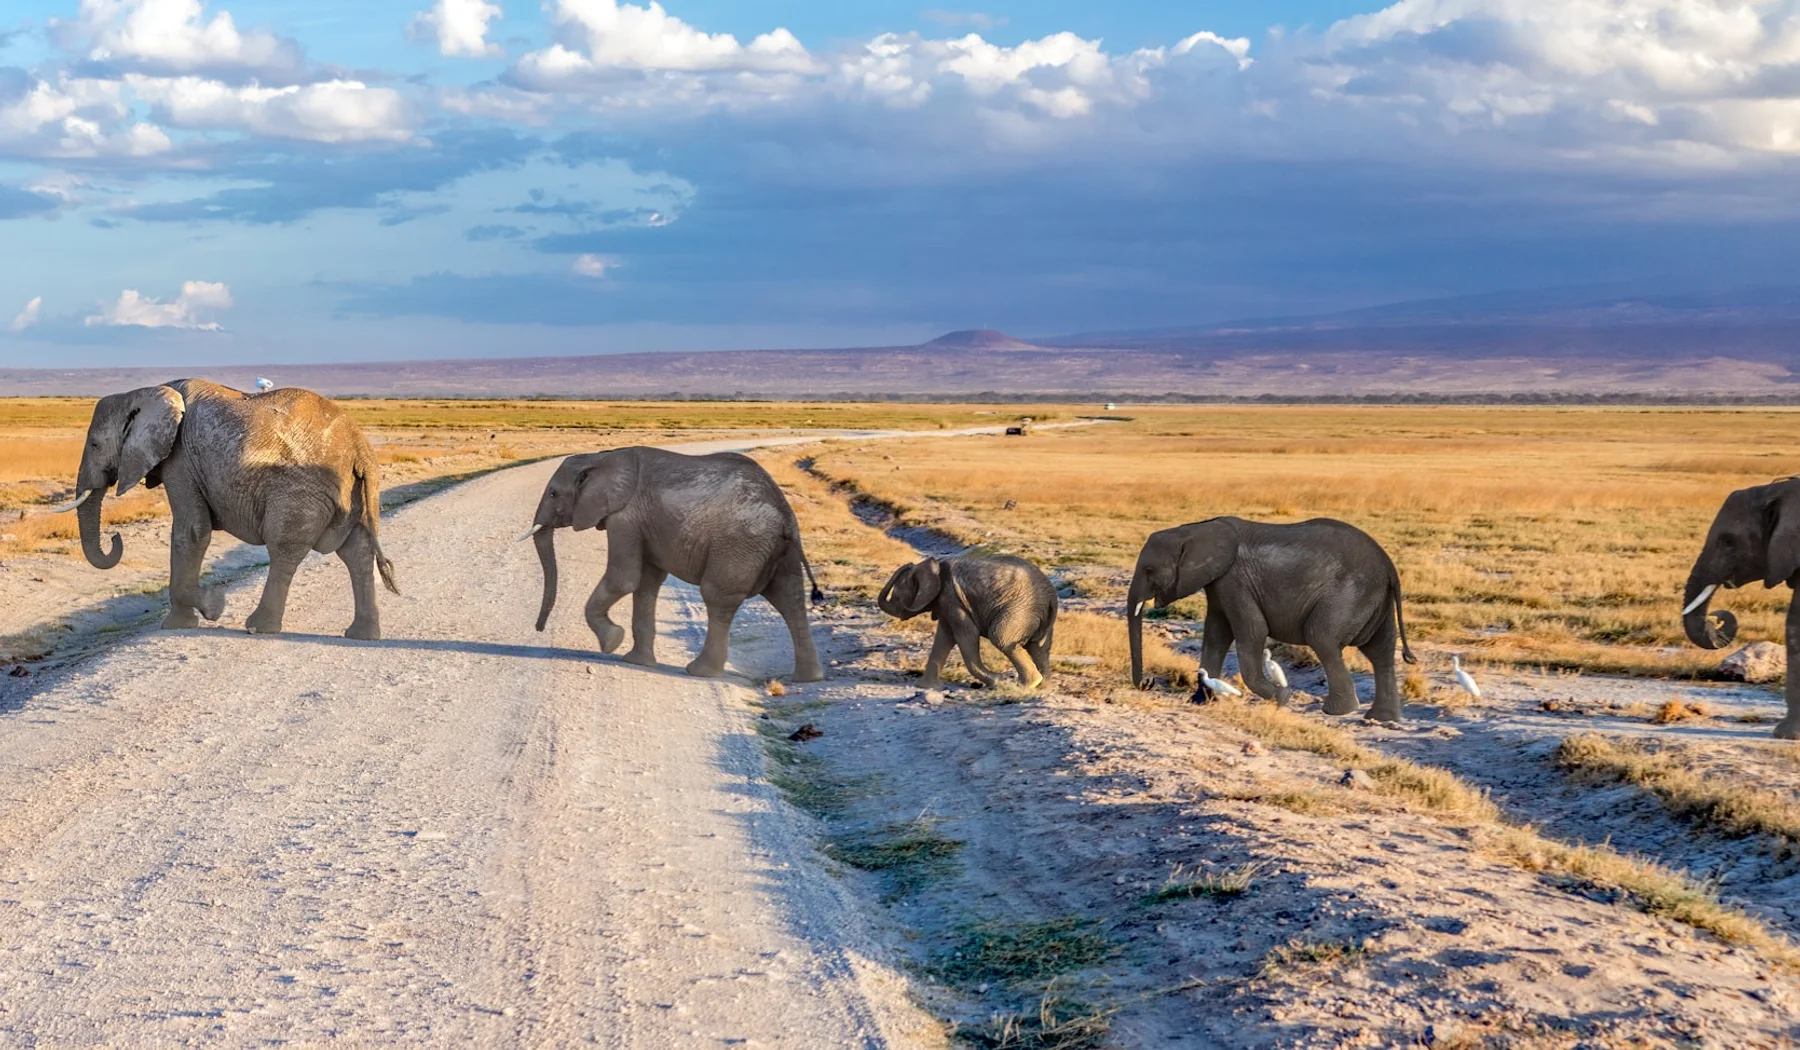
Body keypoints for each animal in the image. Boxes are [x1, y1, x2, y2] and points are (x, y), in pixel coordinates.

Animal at [59, 379, 398, 639]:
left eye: (94, 445)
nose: (115, 538)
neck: (144, 392)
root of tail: (360, 449)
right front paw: (187, 620)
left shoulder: (181, 460)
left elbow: (191, 531)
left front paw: (212, 606)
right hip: (355, 494)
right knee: (357, 552)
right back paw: (362, 635)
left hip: (299, 493)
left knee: (285, 549)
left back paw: (258, 628)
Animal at [527, 447, 825, 682]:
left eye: (553, 494)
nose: (539, 629)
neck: (601, 457)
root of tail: (785, 514)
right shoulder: (643, 522)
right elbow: (646, 583)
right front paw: (636, 661)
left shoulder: (625, 517)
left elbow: (625, 578)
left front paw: (611, 643)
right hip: (776, 550)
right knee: (790, 599)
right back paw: (808, 678)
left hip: (739, 543)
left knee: (719, 598)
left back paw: (700, 672)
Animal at [877, 555, 1058, 689]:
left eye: (897, 597)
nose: (907, 564)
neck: (934, 566)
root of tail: (1052, 597)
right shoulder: (946, 603)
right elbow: (944, 637)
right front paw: (924, 687)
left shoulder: (951, 598)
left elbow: (966, 634)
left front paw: (997, 681)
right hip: (1036, 613)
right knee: (1039, 647)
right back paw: (1042, 686)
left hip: (1020, 609)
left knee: (1001, 638)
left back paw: (1027, 685)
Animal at [1126, 517, 1417, 722]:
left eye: (1149, 569)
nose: (1146, 684)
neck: (1193, 529)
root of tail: (1389, 567)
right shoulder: (1219, 582)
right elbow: (1216, 634)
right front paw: (1200, 701)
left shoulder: (1235, 580)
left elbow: (1252, 631)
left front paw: (1282, 698)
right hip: (1374, 598)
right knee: (1380, 651)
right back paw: (1381, 718)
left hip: (1348, 595)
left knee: (1321, 637)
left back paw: (1337, 712)